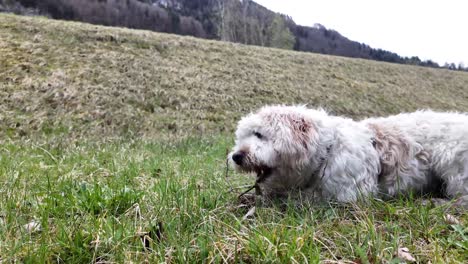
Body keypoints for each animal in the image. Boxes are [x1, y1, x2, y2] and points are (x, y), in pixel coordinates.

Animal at [229, 105, 468, 206]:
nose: (236, 156)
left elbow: (304, 196)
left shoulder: (349, 193)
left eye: (259, 134)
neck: (327, 150)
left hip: (452, 163)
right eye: (241, 137)